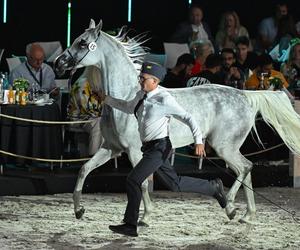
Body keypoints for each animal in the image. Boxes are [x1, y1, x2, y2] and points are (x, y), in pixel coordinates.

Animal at [54, 19, 300, 223]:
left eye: (83, 43)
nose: (58, 63)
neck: (128, 97)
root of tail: (246, 94)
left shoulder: (134, 151)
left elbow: (142, 182)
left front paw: (145, 216)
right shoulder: (111, 148)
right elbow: (84, 169)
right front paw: (79, 210)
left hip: (224, 146)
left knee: (245, 167)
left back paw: (230, 205)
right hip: (228, 147)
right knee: (246, 170)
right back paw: (247, 215)